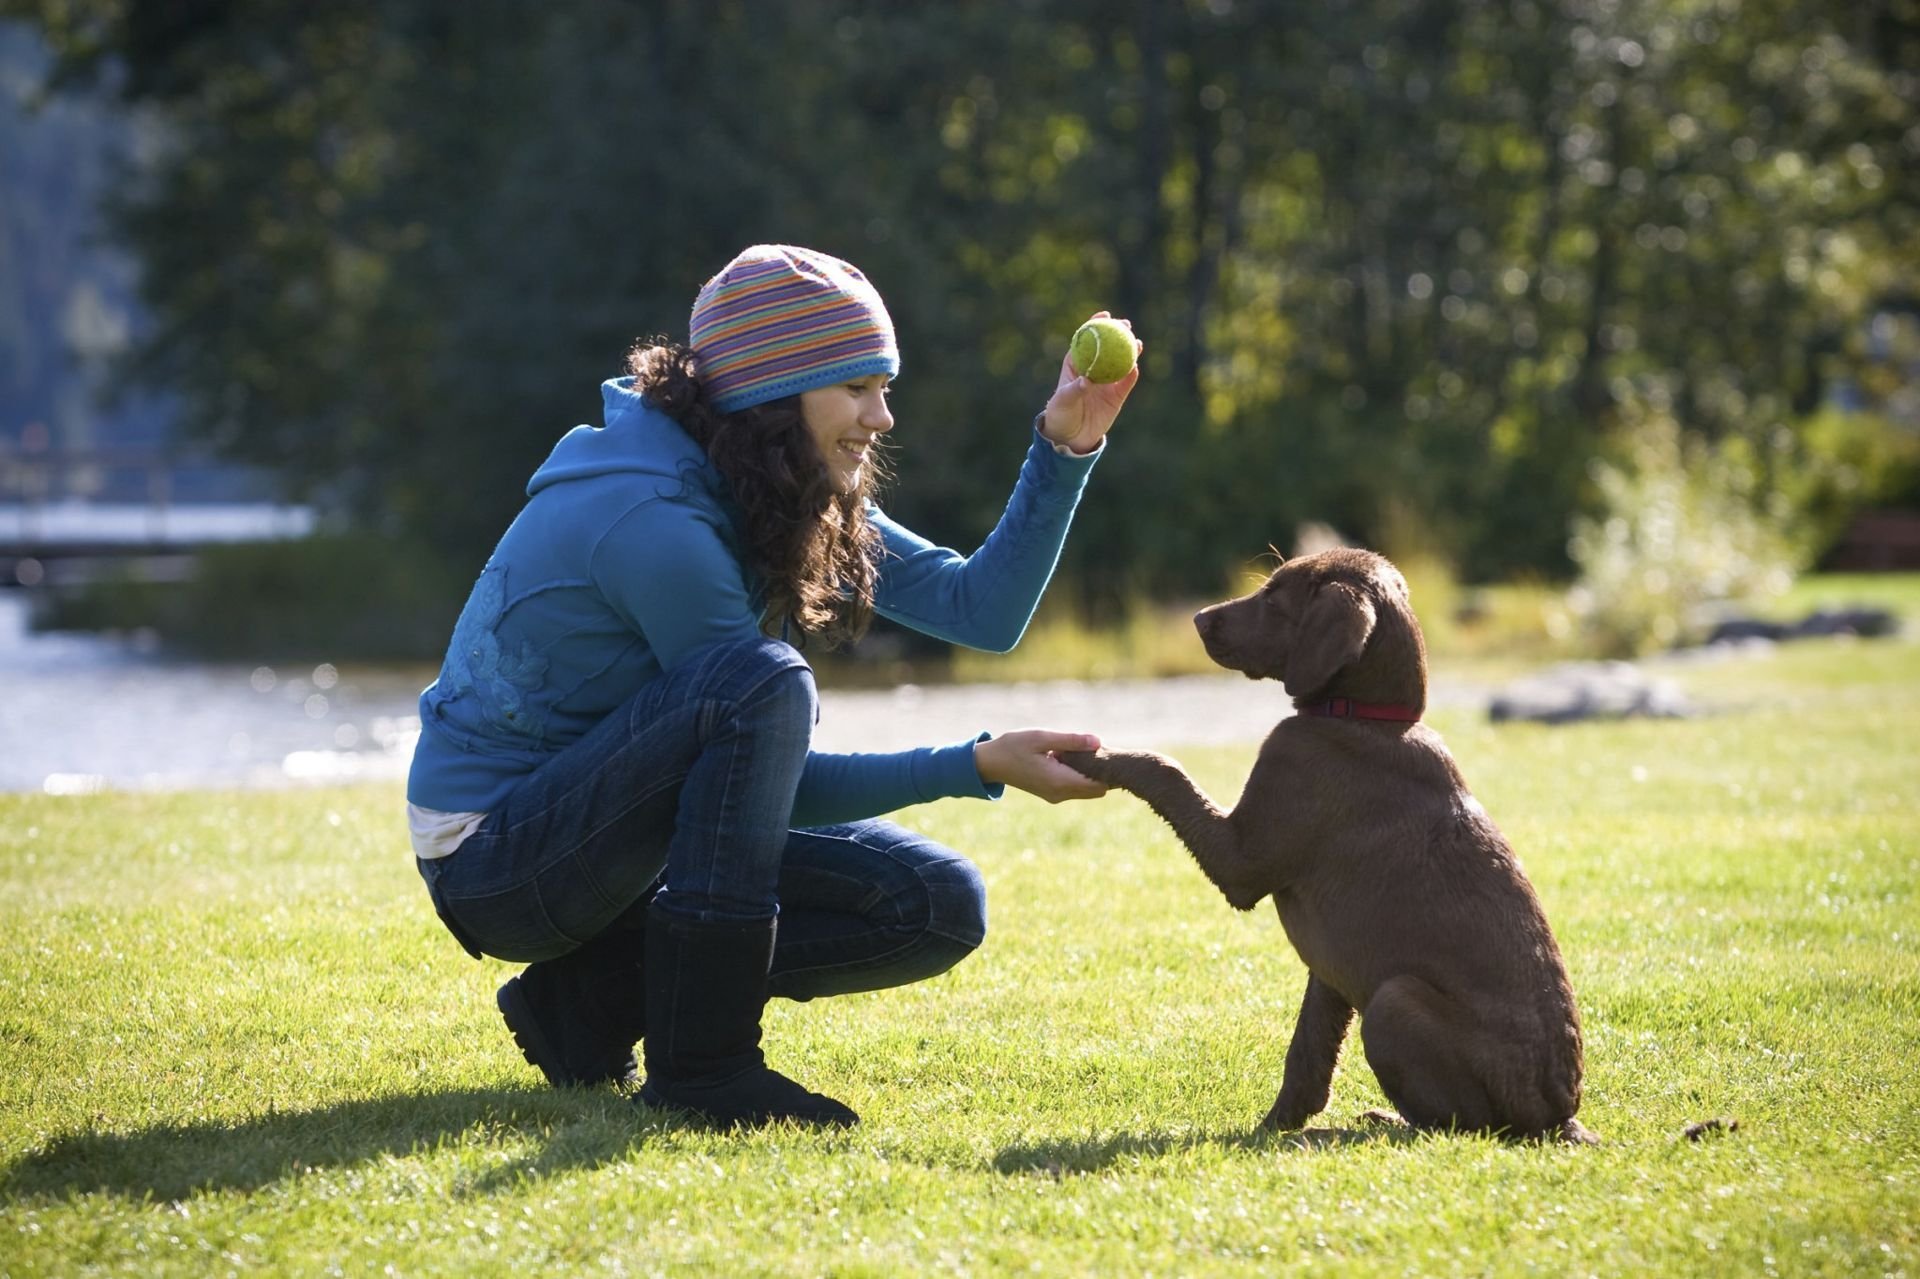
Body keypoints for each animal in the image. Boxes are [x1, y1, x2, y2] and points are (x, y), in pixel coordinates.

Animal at [1059, 541, 1597, 1136]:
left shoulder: (1241, 861)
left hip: (1393, 1001)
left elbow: (1164, 768)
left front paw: (1090, 756)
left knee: (1459, 1126)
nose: (1198, 619)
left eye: (1275, 597)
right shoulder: (1331, 968)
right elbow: (1309, 1052)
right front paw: (1277, 1125)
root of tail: (1558, 1117)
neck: (1367, 718)